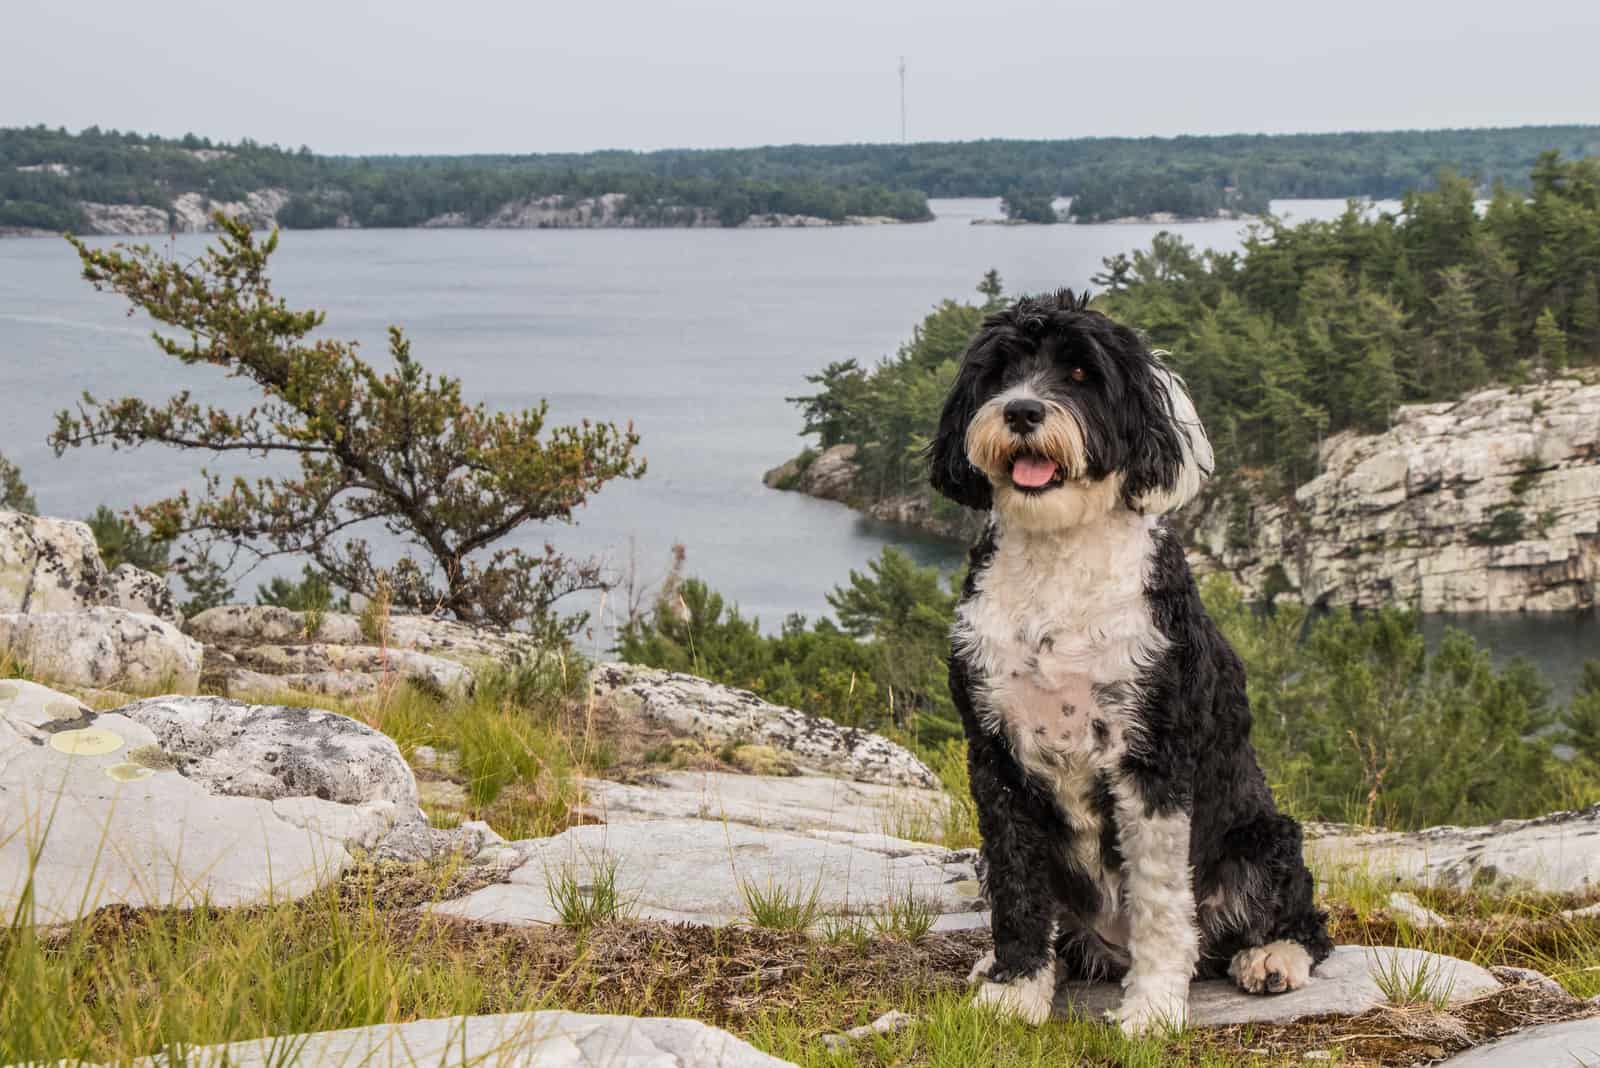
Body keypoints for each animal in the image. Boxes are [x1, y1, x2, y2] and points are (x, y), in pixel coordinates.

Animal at [934, 289, 1331, 1036]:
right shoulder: (995, 759)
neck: (1060, 562)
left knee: (1300, 920)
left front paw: (1152, 1008)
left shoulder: (1153, 758)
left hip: (1262, 837)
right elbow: (1018, 889)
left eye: (1081, 374)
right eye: (999, 372)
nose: (1021, 411)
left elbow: (1160, 899)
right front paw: (1015, 988)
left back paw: (1272, 958)